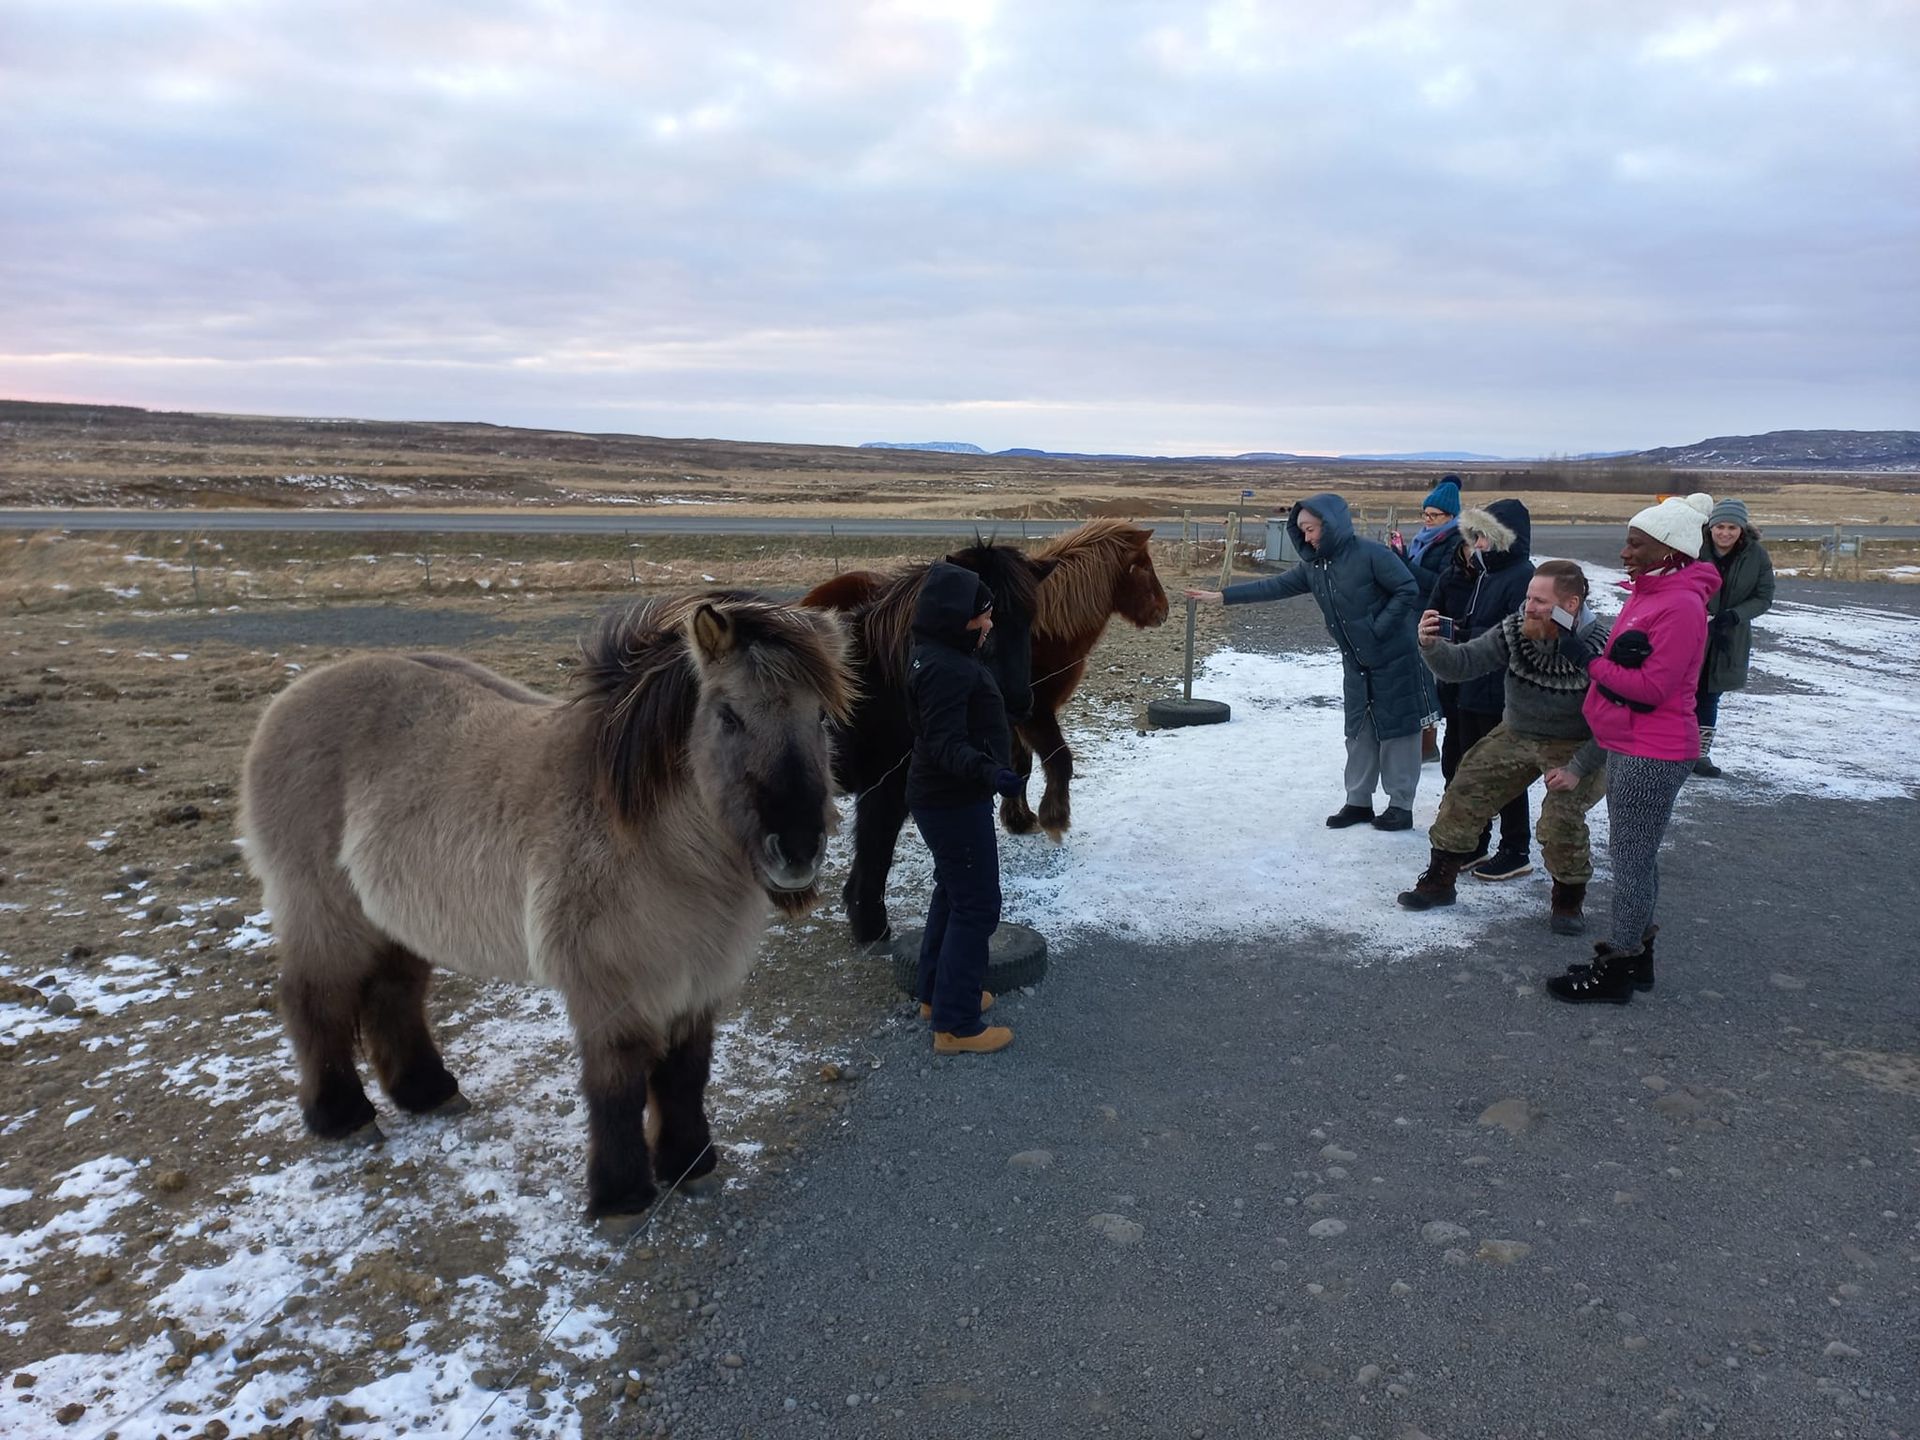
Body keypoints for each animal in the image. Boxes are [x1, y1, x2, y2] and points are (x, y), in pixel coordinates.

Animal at [239, 592, 853, 1221]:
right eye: (728, 716)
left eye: (821, 719)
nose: (797, 848)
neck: (652, 843)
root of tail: (289, 700)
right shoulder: (610, 988)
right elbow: (618, 1083)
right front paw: (622, 1196)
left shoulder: (697, 980)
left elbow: (686, 1072)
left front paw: (690, 1164)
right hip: (323, 912)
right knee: (314, 999)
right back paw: (342, 1117)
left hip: (397, 919)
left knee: (393, 994)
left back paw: (428, 1092)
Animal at [801, 540, 1055, 946]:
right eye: (991, 621)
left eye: (1028, 620)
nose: (1019, 703)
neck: (883, 681)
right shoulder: (883, 788)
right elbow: (876, 850)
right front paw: (871, 926)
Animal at [999, 519, 1170, 840]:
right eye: (1142, 566)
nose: (1164, 611)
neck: (1040, 633)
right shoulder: (1036, 714)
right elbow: (1060, 759)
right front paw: (1054, 818)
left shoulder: (1014, 720)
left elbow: (1019, 766)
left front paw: (1019, 820)